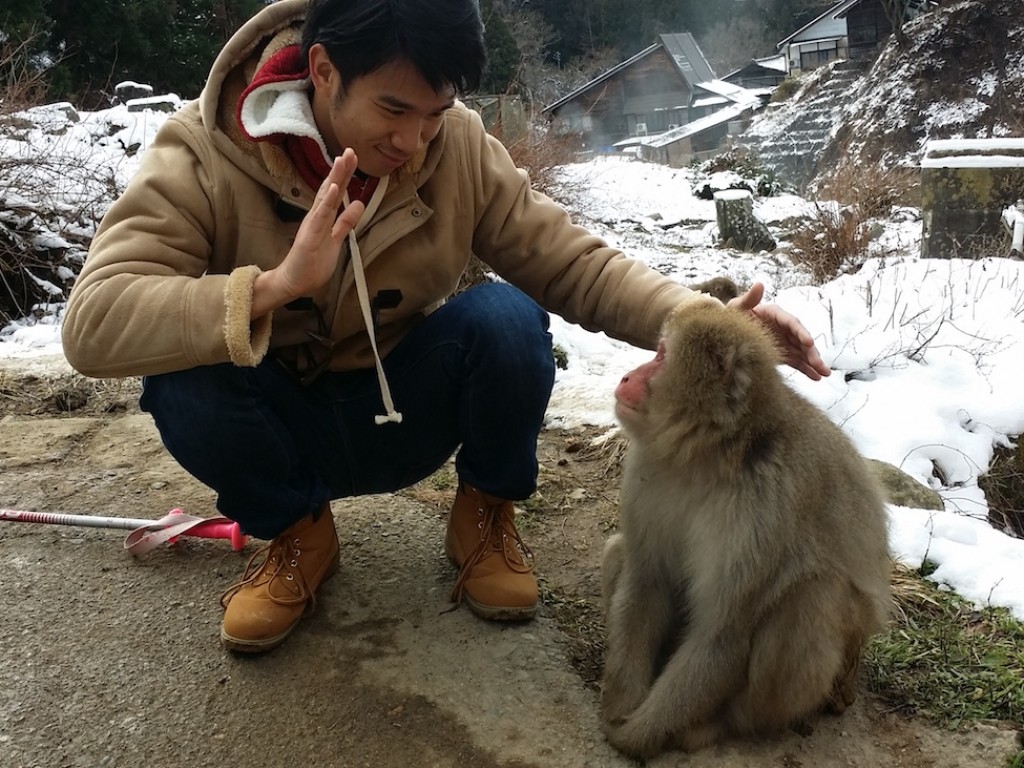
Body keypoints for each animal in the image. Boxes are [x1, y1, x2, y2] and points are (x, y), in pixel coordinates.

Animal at [600, 295, 891, 759]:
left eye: (661, 356)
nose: (628, 375)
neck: (711, 457)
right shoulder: (647, 472)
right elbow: (646, 582)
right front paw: (621, 706)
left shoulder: (763, 507)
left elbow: (723, 635)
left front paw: (636, 736)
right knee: (618, 551)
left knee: (809, 597)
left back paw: (720, 725)